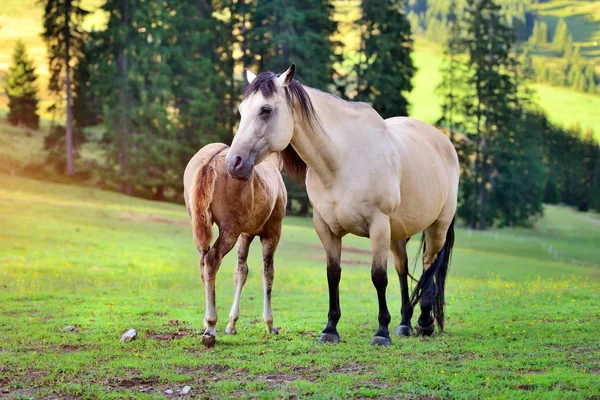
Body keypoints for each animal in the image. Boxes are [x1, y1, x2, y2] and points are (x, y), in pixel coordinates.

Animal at [182, 142, 288, 346]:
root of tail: (210, 161)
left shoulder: (245, 234)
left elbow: (241, 271)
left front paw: (231, 324)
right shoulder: (272, 233)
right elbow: (267, 273)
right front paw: (270, 325)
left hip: (202, 227)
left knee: (203, 263)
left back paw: (206, 322)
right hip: (229, 231)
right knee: (212, 260)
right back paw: (210, 327)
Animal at [225, 65, 460, 346]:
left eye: (266, 110)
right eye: (241, 111)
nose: (234, 162)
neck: (342, 161)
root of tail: (444, 142)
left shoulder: (378, 226)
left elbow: (378, 277)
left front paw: (382, 332)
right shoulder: (326, 228)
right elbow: (333, 274)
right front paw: (330, 329)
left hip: (436, 227)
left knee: (428, 266)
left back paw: (424, 322)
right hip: (398, 234)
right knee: (403, 270)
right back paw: (405, 323)